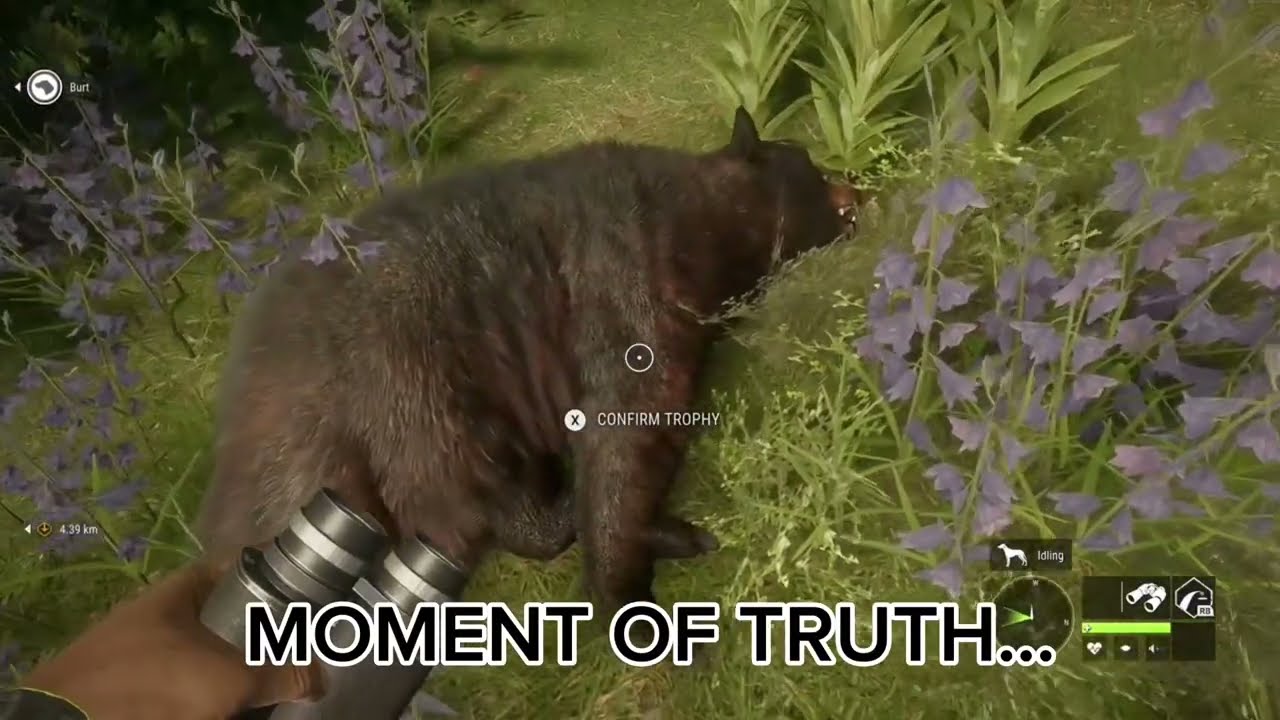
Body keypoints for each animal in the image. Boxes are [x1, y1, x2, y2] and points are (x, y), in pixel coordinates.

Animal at [195, 107, 860, 611]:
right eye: (809, 162)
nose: (856, 186)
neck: (701, 213)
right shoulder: (623, 275)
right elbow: (625, 427)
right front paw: (627, 579)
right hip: (404, 386)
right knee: (471, 486)